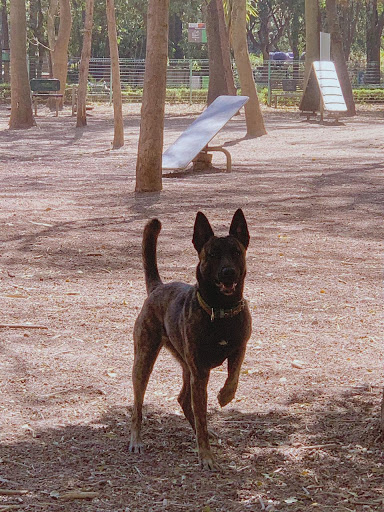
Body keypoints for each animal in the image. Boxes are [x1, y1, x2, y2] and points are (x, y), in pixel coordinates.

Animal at [130, 210, 252, 470]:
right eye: (213, 254)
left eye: (236, 251)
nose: (228, 272)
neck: (220, 310)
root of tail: (158, 287)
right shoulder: (200, 372)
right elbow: (202, 415)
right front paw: (206, 455)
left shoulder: (240, 348)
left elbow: (234, 377)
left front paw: (224, 396)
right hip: (144, 359)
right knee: (138, 405)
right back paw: (136, 439)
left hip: (186, 365)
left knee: (183, 399)